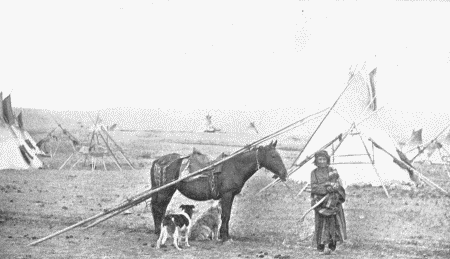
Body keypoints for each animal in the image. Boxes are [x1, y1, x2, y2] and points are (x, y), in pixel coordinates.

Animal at [149, 141, 286, 243]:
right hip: (165, 192)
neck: (235, 166)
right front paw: (224, 237)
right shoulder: (227, 195)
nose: (284, 173)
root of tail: (158, 161)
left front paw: (226, 235)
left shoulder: (230, 196)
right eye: (273, 156)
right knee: (159, 208)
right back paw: (159, 231)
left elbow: (227, 215)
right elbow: (225, 215)